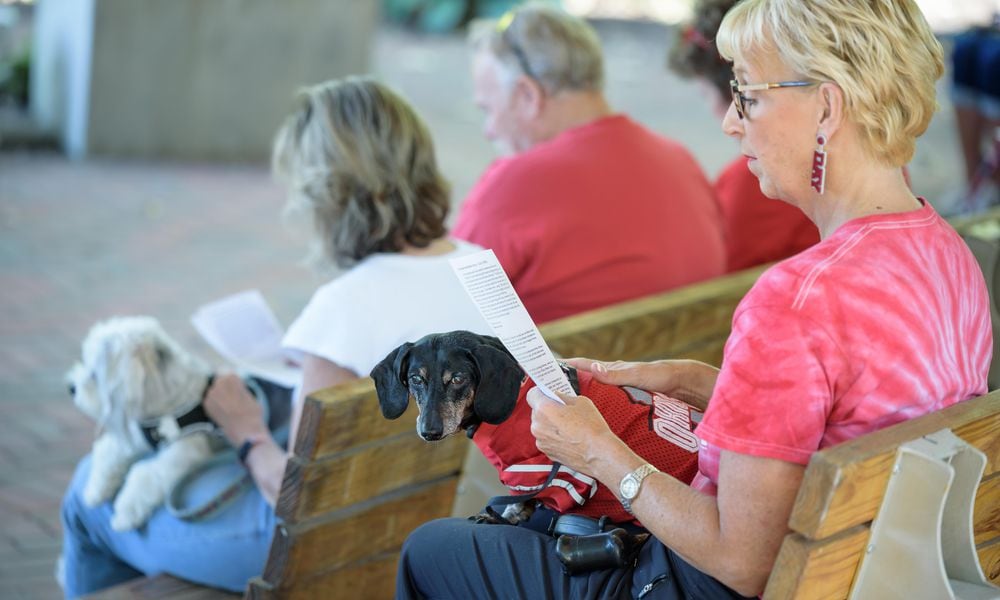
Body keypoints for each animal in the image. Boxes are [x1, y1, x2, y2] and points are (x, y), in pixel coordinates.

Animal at [68, 314, 221, 528]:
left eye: (95, 375)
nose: (71, 388)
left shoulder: (184, 452)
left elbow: (146, 474)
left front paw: (126, 512)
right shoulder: (138, 437)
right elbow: (108, 451)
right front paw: (96, 489)